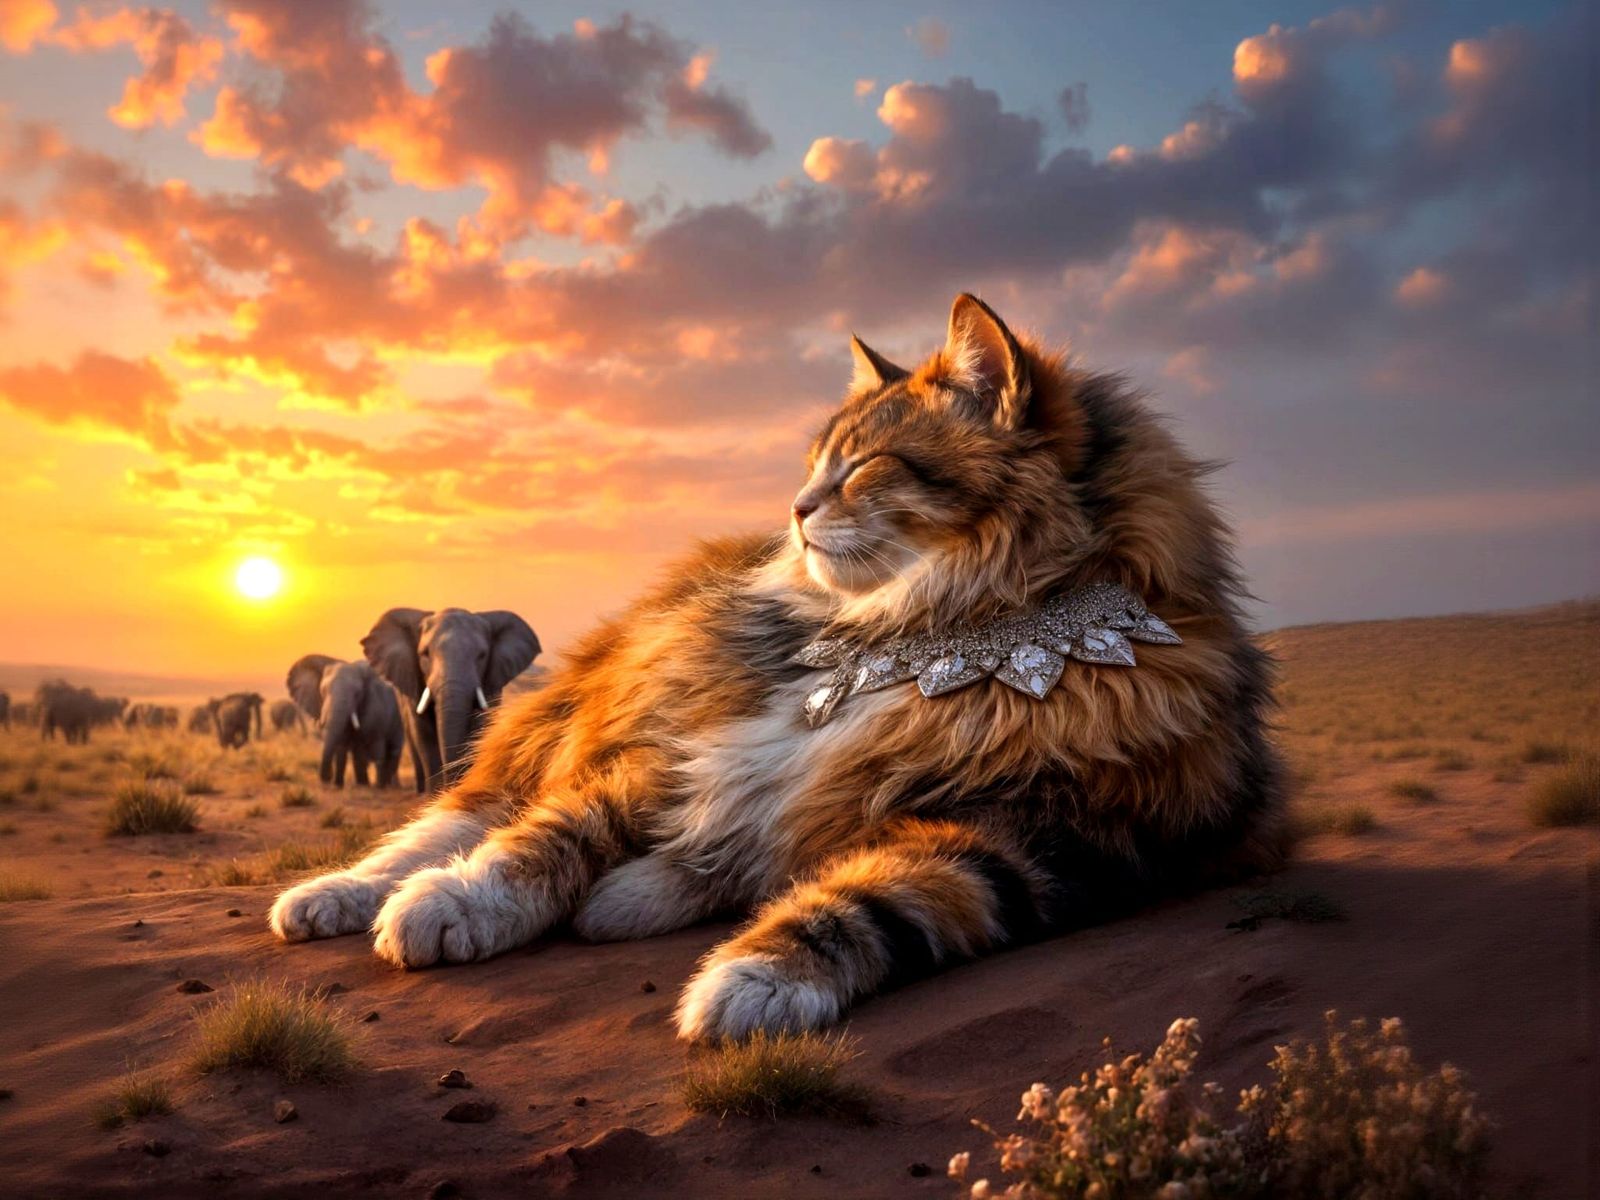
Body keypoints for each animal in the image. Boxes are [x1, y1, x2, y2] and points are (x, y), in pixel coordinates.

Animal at [287, 655, 404, 789]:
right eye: (323, 691)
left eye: (357, 693)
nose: (327, 778)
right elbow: (341, 747)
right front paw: (338, 786)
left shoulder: (376, 706)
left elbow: (376, 743)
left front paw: (377, 787)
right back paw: (364, 784)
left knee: (393, 750)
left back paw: (388, 786)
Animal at [361, 607, 540, 794]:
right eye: (425, 654)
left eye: (482, 655)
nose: (450, 788)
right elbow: (424, 734)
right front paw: (433, 798)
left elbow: (478, 729)